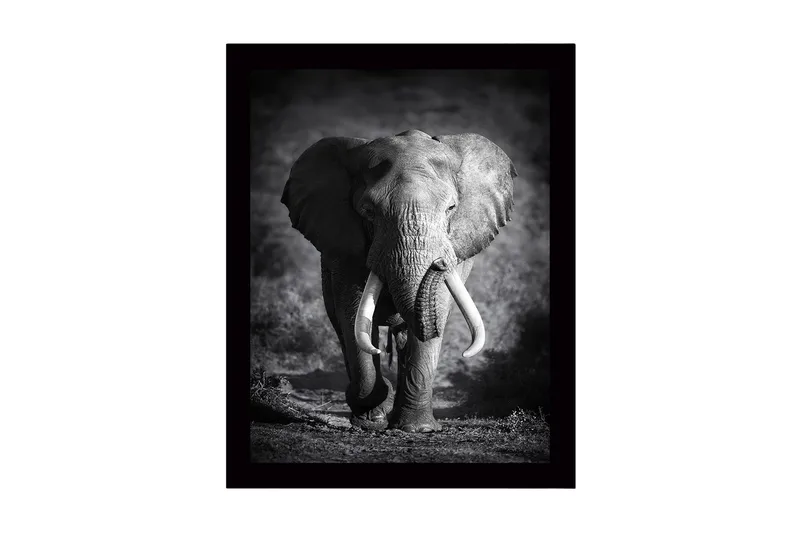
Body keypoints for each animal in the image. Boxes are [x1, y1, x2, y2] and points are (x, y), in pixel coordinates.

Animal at [281, 129, 516, 433]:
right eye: (368, 211)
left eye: (451, 208)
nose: (440, 263)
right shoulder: (344, 247)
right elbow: (352, 314)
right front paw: (371, 419)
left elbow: (437, 309)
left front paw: (417, 429)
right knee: (342, 326)